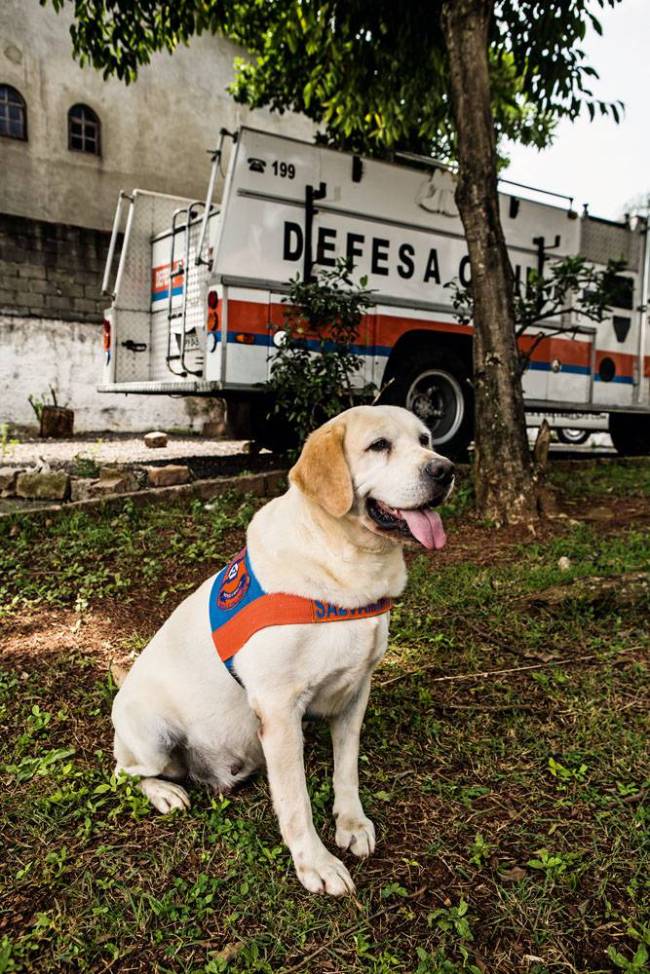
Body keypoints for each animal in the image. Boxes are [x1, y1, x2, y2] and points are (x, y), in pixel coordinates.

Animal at [111, 406, 450, 900]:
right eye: (379, 445)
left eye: (425, 439)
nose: (445, 470)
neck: (346, 567)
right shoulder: (279, 711)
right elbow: (296, 801)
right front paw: (316, 864)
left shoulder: (354, 693)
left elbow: (346, 771)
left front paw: (351, 824)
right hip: (151, 739)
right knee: (125, 773)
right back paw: (165, 793)